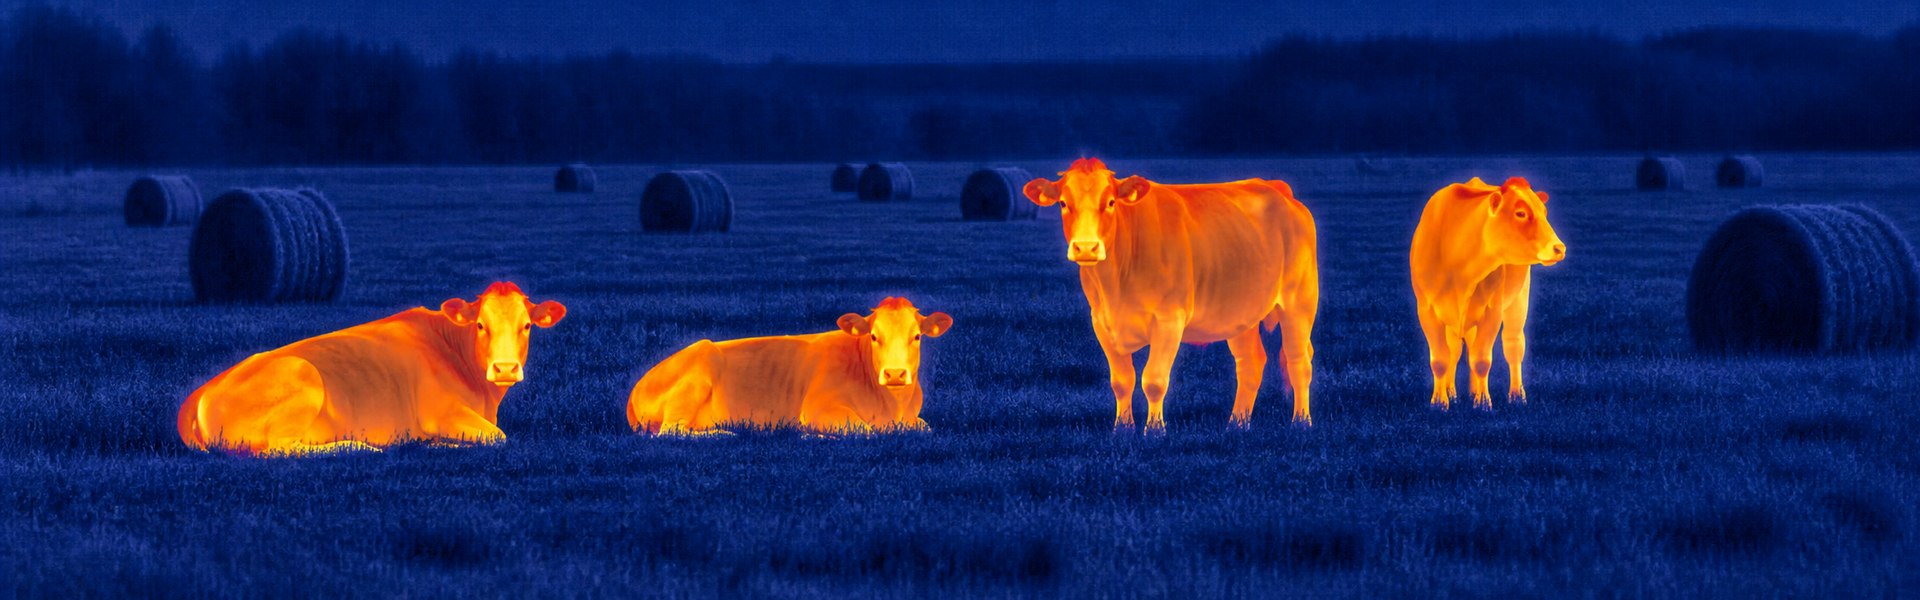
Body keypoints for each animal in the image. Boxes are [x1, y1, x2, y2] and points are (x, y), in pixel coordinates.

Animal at [177, 282, 567, 456]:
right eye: (481, 325)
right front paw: (434, 444)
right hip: (304, 378)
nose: (505, 368)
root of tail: (201, 391)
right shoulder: (441, 413)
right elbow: (497, 437)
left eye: (527, 325)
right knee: (278, 448)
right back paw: (357, 446)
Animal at [627, 297, 953, 436]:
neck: (890, 407)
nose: (895, 373)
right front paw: (812, 436)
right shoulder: (818, 408)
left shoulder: (914, 419)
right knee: (670, 431)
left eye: (917, 336)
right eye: (874, 336)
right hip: (700, 366)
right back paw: (724, 434)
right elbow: (866, 431)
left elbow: (925, 429)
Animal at [1024, 158, 1320, 431]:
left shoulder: (1169, 320)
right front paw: (1122, 428)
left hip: (1299, 301)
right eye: (1063, 203)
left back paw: (1301, 422)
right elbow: (1121, 382)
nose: (1086, 248)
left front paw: (1154, 430)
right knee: (1251, 363)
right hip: (1240, 311)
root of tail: (1276, 188)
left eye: (1110, 202)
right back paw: (1236, 423)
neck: (1116, 285)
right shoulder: (1101, 322)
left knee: (1299, 362)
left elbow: (1154, 380)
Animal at [1409, 177, 1566, 410]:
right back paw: (1456, 392)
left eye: (1544, 212)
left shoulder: (1492, 311)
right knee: (1456, 350)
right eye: (1521, 213)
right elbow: (1440, 359)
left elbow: (1481, 360)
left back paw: (1516, 395)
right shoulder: (1427, 311)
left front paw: (1483, 402)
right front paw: (1440, 401)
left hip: (1519, 300)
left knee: (1513, 346)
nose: (1559, 248)